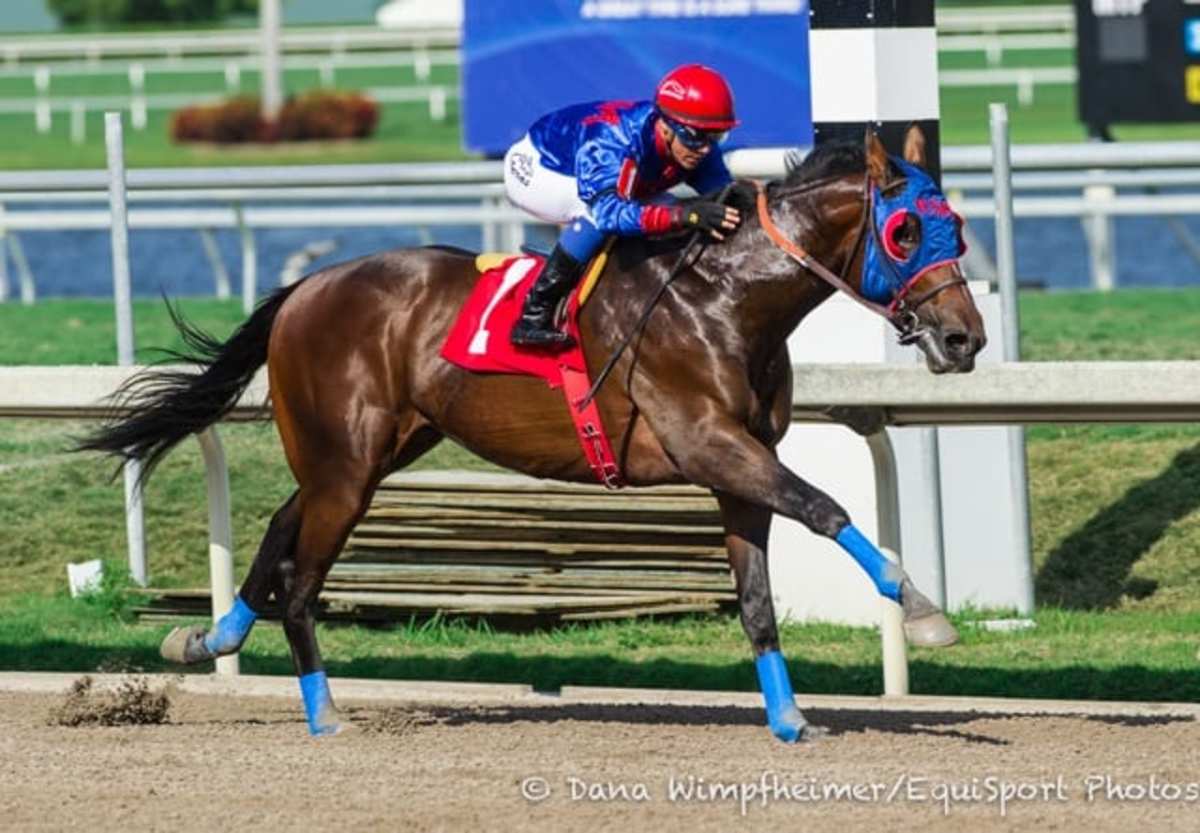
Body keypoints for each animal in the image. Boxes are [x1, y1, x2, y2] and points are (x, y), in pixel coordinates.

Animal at [80, 128, 986, 742]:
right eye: (906, 232)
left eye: (959, 226)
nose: (964, 338)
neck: (728, 299)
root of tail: (306, 287)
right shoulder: (708, 442)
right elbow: (827, 507)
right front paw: (924, 611)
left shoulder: (740, 465)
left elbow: (760, 598)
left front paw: (792, 718)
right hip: (347, 464)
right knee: (302, 582)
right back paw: (324, 710)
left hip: (369, 455)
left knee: (279, 526)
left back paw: (208, 635)